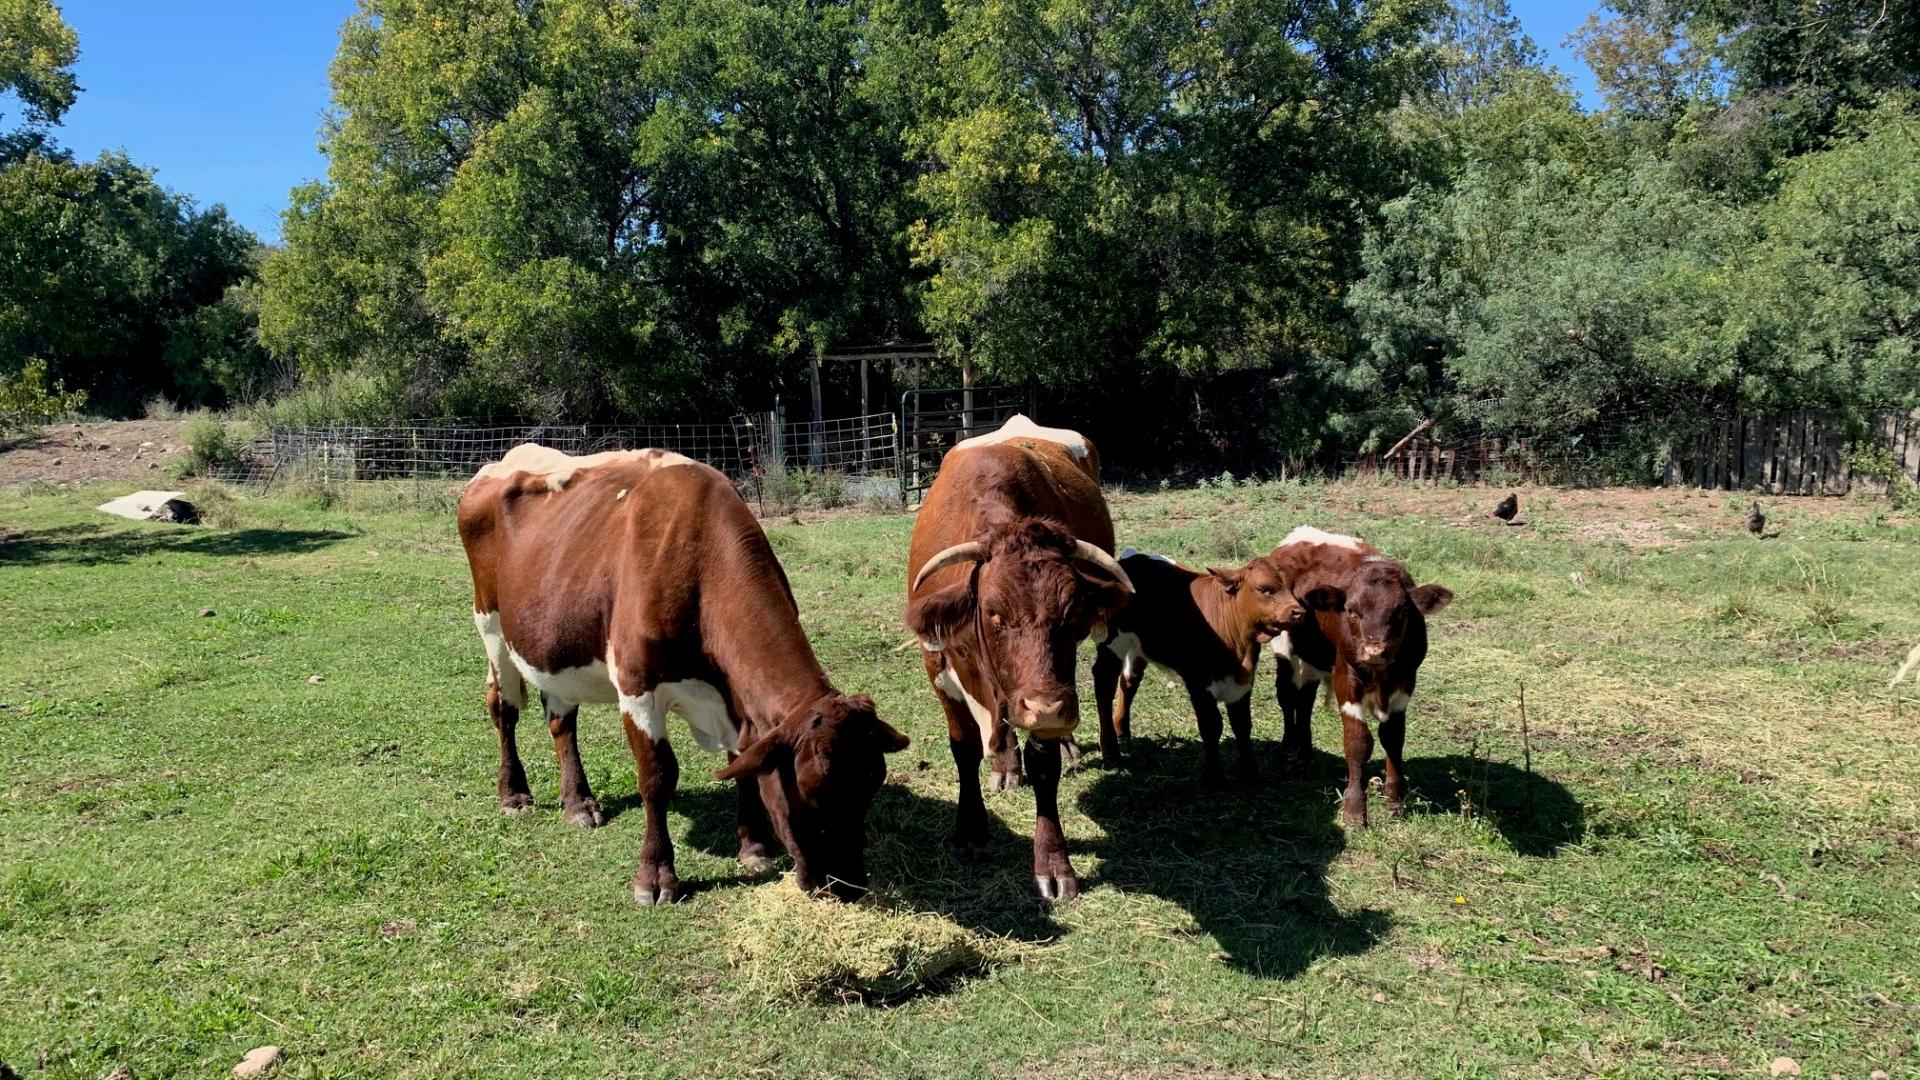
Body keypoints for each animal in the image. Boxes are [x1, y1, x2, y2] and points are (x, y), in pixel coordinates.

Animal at [462, 440, 913, 899]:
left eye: (871, 787)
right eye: (812, 791)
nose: (848, 884)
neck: (700, 561)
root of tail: (506, 458)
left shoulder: (735, 696)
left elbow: (742, 762)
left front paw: (753, 847)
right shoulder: (637, 684)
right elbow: (658, 777)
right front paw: (656, 876)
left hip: (554, 642)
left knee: (560, 719)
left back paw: (578, 803)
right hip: (490, 624)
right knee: (503, 708)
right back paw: (514, 794)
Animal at [902, 413, 1128, 899]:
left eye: (1073, 617)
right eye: (995, 615)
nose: (1049, 710)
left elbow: (1045, 767)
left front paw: (1053, 863)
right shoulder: (938, 666)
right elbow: (964, 748)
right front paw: (970, 831)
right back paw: (1006, 762)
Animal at [1090, 545, 1344, 780]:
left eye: (1290, 588)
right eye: (1264, 589)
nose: (1299, 612)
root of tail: (1131, 558)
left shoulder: (1243, 682)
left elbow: (1242, 724)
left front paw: (1249, 772)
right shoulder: (1198, 683)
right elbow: (1211, 726)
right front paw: (1213, 775)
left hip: (1138, 646)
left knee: (1129, 681)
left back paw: (1121, 728)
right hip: (1111, 643)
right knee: (1104, 683)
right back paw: (1110, 748)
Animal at [1267, 526, 1443, 822]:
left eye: (1402, 611)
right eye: (1351, 610)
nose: (1374, 651)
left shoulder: (1406, 681)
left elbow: (1393, 737)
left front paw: (1394, 800)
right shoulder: (1346, 679)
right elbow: (1358, 742)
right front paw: (1354, 809)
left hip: (1313, 659)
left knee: (1305, 701)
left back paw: (1305, 756)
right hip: (1286, 651)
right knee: (1288, 698)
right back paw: (1289, 752)